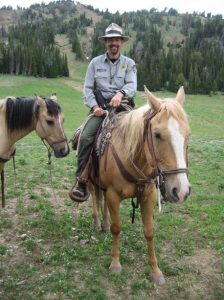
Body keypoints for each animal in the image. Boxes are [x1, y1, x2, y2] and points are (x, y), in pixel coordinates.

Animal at [89, 85, 191, 284]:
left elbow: (149, 231)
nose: (181, 191)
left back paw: (103, 222)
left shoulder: (148, 195)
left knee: (101, 199)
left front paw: (156, 271)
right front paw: (115, 264)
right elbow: (116, 228)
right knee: (94, 199)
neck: (134, 158)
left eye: (187, 135)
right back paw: (97, 223)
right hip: (89, 180)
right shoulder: (113, 194)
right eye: (157, 134)